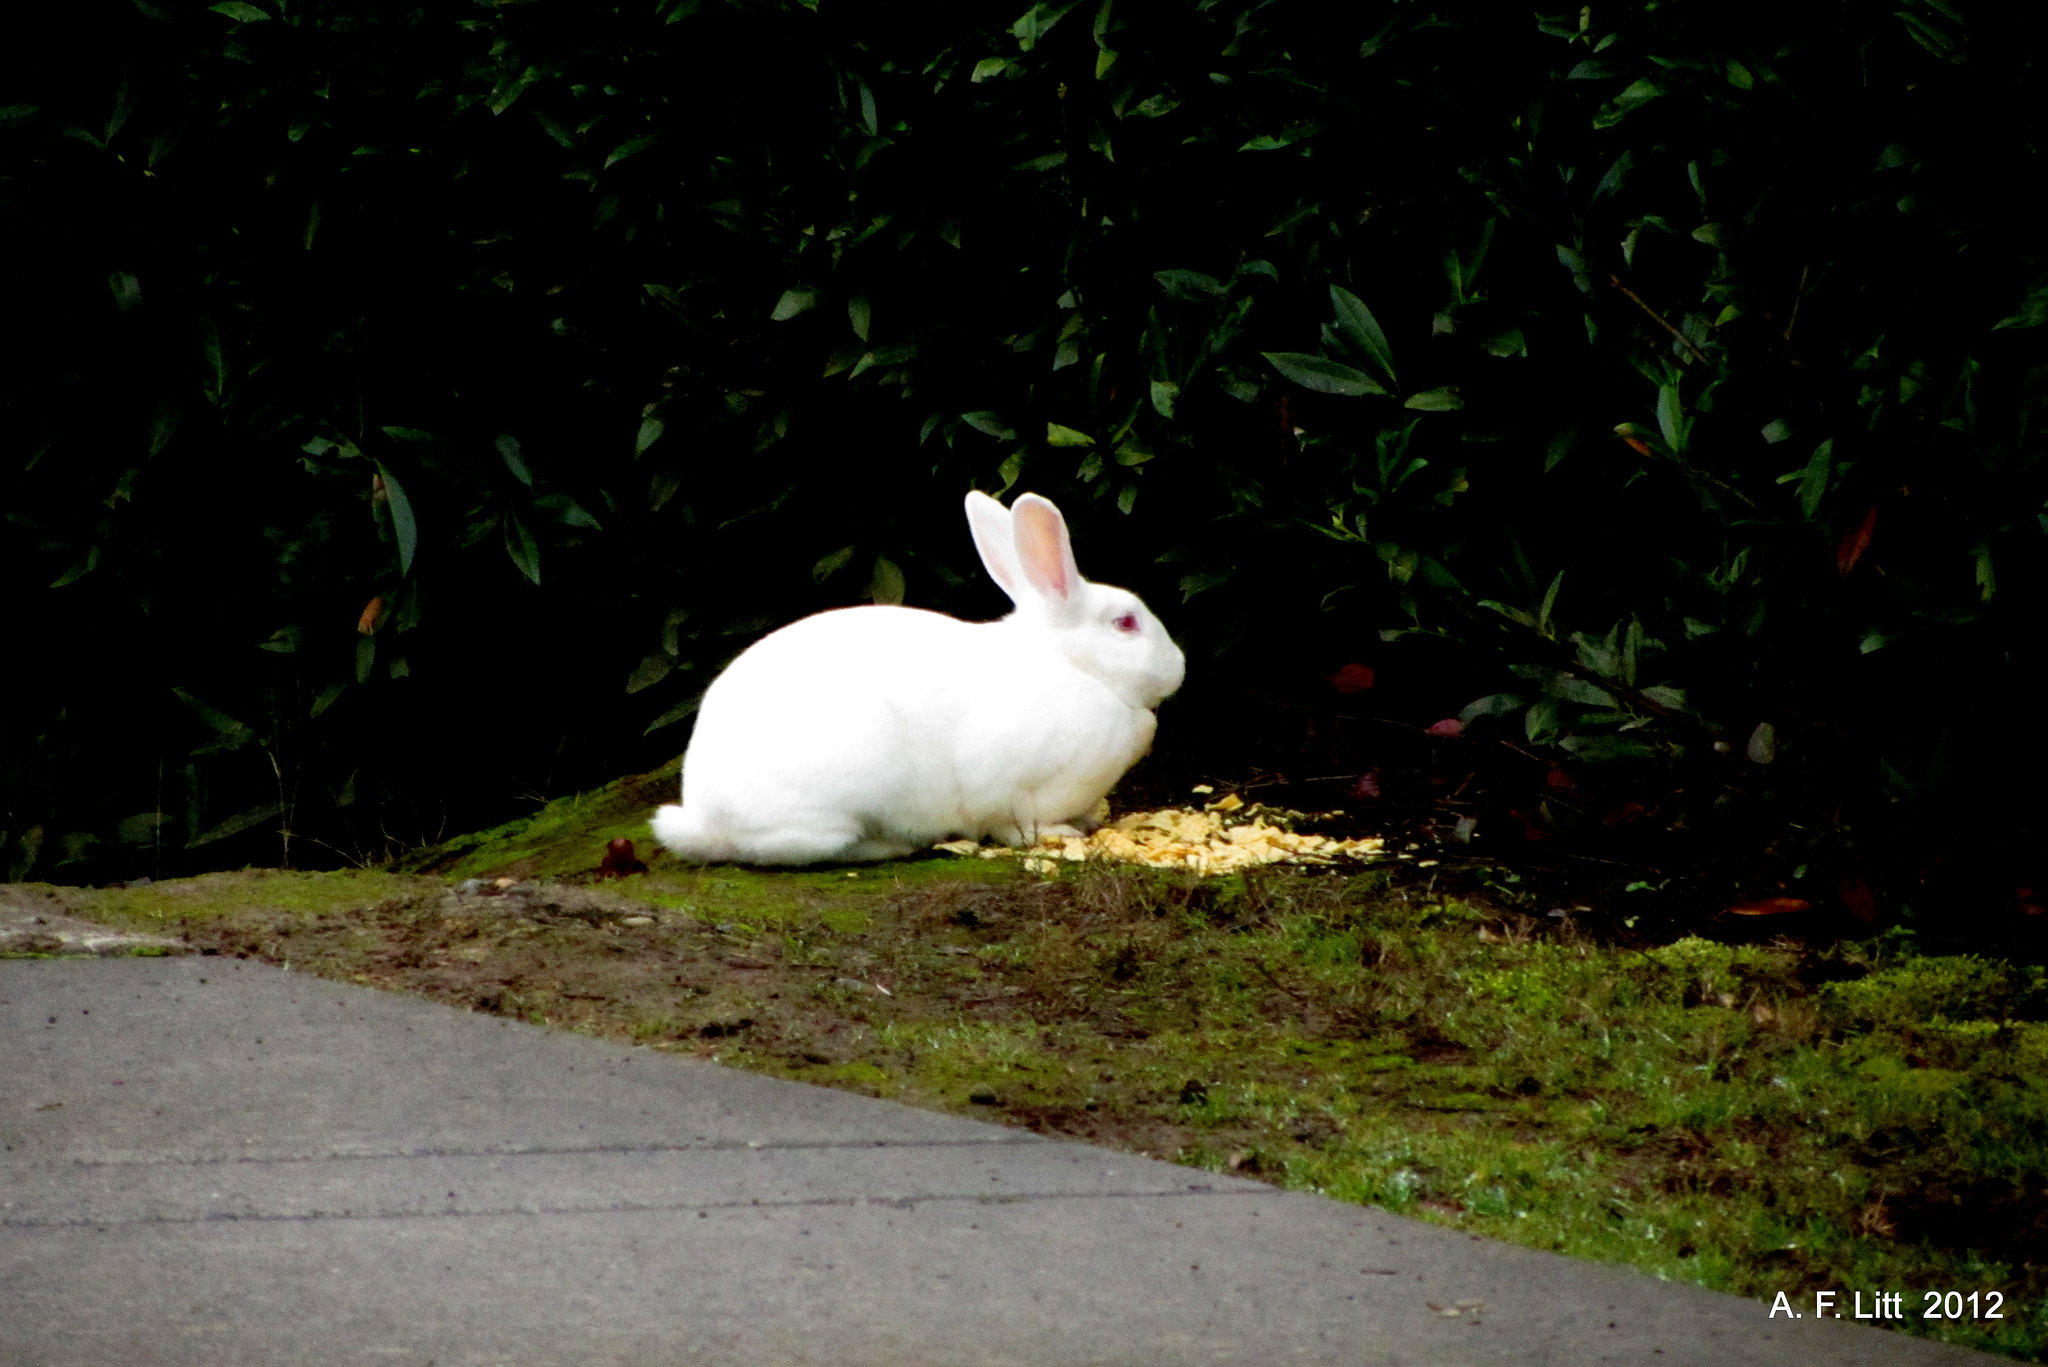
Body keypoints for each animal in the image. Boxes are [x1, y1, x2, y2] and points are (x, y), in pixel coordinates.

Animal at [650, 489, 1185, 865]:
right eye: (1126, 623)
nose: (1179, 665)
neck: (1072, 665)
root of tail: (704, 819)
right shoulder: (1011, 790)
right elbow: (1014, 824)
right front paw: (1063, 834)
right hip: (834, 803)